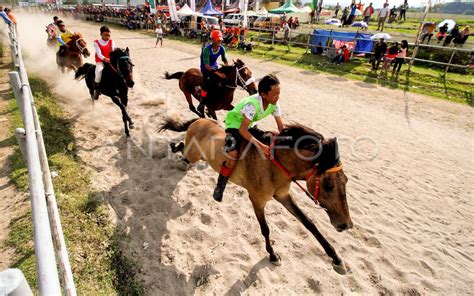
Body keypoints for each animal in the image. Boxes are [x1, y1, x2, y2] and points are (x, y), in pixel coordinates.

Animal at [161, 117, 354, 272]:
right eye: (328, 186)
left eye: (346, 181)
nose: (346, 225)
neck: (274, 165)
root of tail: (199, 120)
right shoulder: (257, 200)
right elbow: (265, 229)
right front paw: (273, 255)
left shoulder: (283, 196)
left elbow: (309, 224)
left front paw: (336, 259)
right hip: (192, 154)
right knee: (182, 151)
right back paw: (174, 149)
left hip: (199, 156)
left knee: (183, 151)